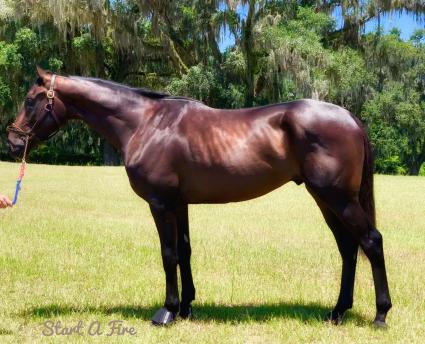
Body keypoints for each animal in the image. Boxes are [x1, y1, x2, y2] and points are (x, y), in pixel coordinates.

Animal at [6, 68, 390, 328]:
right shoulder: (179, 204)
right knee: (348, 248)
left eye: (30, 100)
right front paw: (187, 307)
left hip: (337, 198)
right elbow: (185, 251)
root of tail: (350, 117)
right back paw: (337, 312)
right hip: (326, 200)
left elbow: (168, 254)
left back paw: (380, 314)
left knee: (370, 241)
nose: (12, 142)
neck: (145, 123)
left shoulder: (160, 204)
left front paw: (166, 311)